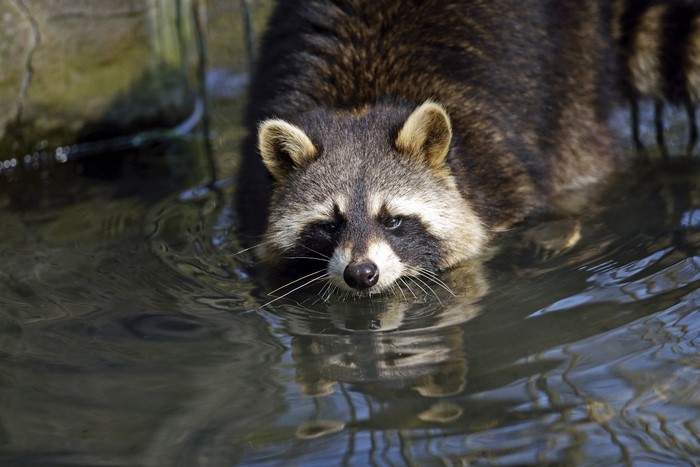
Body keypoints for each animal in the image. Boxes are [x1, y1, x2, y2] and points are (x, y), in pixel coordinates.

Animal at [235, 0, 684, 298]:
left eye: (392, 220)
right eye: (330, 224)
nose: (362, 274)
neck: (359, 102)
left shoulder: (498, 171)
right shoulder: (253, 196)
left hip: (575, 74)